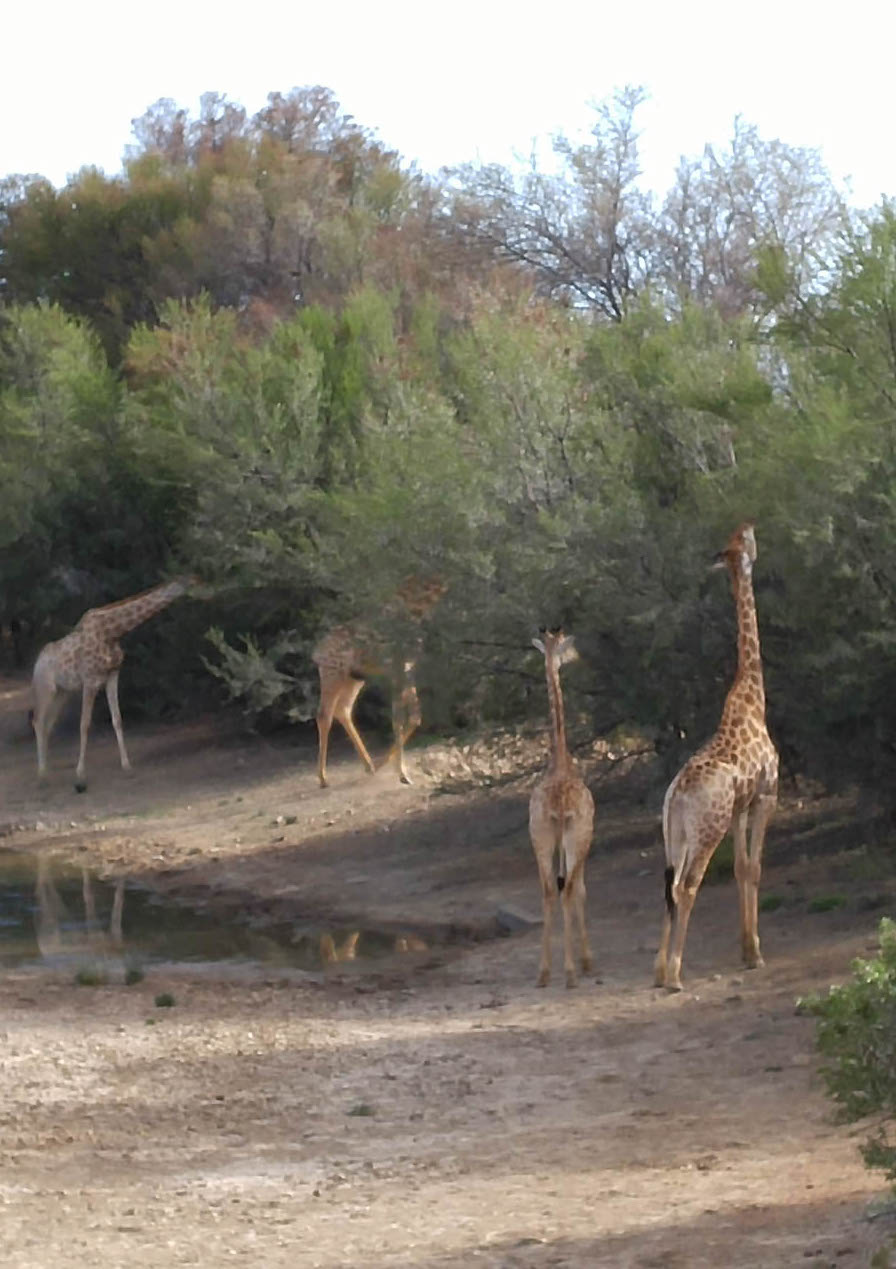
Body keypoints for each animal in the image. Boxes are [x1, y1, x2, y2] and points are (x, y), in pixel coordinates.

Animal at [32, 578, 196, 791]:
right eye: (195, 583)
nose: (207, 592)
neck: (111, 632)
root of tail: (37, 663)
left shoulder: (112, 675)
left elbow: (117, 719)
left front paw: (127, 767)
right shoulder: (90, 680)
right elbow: (84, 724)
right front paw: (80, 778)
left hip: (63, 692)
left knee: (48, 725)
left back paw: (47, 773)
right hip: (46, 689)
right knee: (38, 721)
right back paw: (41, 777)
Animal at [310, 578, 444, 791]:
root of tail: (317, 652)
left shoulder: (407, 667)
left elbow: (415, 717)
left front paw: (388, 766)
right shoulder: (397, 667)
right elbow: (398, 719)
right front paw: (402, 774)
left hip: (354, 677)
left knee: (343, 709)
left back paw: (369, 765)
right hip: (333, 673)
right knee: (324, 714)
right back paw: (324, 778)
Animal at [649, 522, 776, 989]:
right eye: (746, 541)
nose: (752, 526)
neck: (754, 699)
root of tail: (675, 797)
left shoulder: (740, 808)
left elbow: (740, 868)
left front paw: (748, 951)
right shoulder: (766, 796)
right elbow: (754, 868)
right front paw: (755, 953)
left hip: (676, 835)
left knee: (668, 886)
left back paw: (658, 971)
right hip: (707, 831)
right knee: (687, 887)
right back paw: (674, 975)